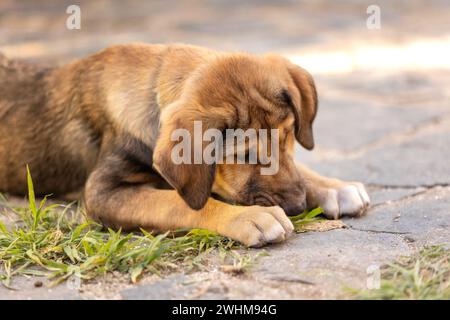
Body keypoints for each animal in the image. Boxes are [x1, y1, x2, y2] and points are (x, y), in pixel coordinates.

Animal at [0, 43, 370, 246]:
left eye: (289, 136)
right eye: (244, 155)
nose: (297, 206)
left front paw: (333, 187)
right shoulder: (103, 192)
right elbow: (180, 203)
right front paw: (251, 216)